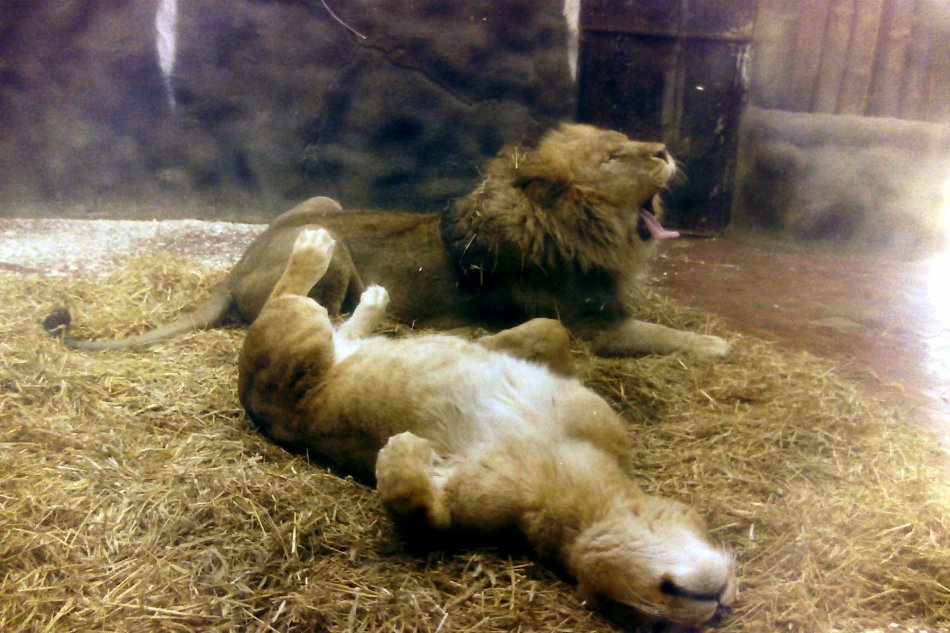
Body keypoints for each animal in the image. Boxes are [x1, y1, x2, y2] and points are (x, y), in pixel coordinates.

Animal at [47, 123, 729, 358]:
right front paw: (720, 343)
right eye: (615, 156)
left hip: (325, 201)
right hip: (331, 242)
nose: (666, 150)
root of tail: (231, 271)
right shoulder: (594, 327)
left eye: (629, 139)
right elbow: (672, 338)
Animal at [238, 228, 737, 627]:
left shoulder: (471, 505)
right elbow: (550, 329)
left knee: (320, 320)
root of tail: (253, 401)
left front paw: (401, 449)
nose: (721, 607)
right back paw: (315, 247)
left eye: (659, 623)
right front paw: (486, 343)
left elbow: (420, 507)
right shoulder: (583, 405)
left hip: (305, 341)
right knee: (281, 296)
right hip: (300, 336)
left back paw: (370, 295)